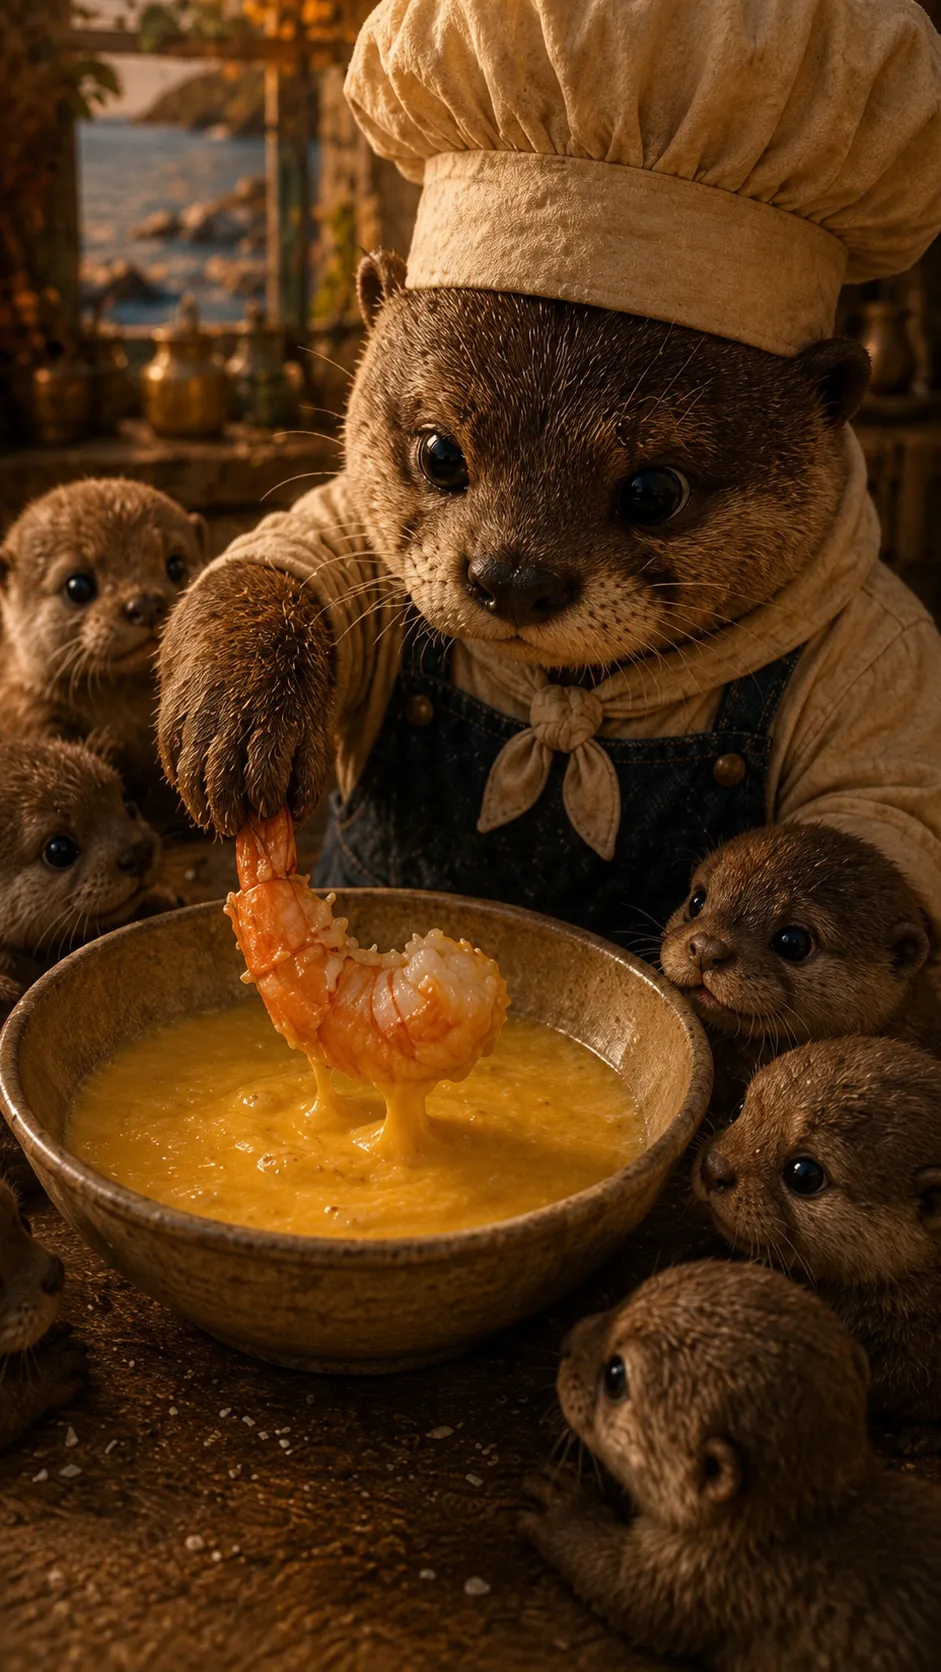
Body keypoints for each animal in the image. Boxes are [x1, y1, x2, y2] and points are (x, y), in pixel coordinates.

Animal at [522, 1259, 941, 1670]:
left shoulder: (694, 1584)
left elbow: (618, 1587)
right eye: (629, 1297)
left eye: (615, 1376)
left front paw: (565, 1509)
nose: (567, 1341)